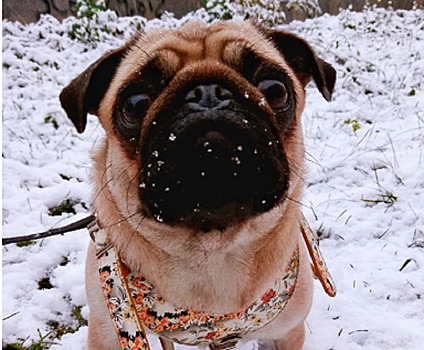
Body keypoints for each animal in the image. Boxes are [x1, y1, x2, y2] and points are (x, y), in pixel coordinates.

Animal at [60, 20, 334, 350]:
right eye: (134, 105)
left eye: (275, 90)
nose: (207, 94)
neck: (212, 250)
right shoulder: (110, 334)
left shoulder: (286, 334)